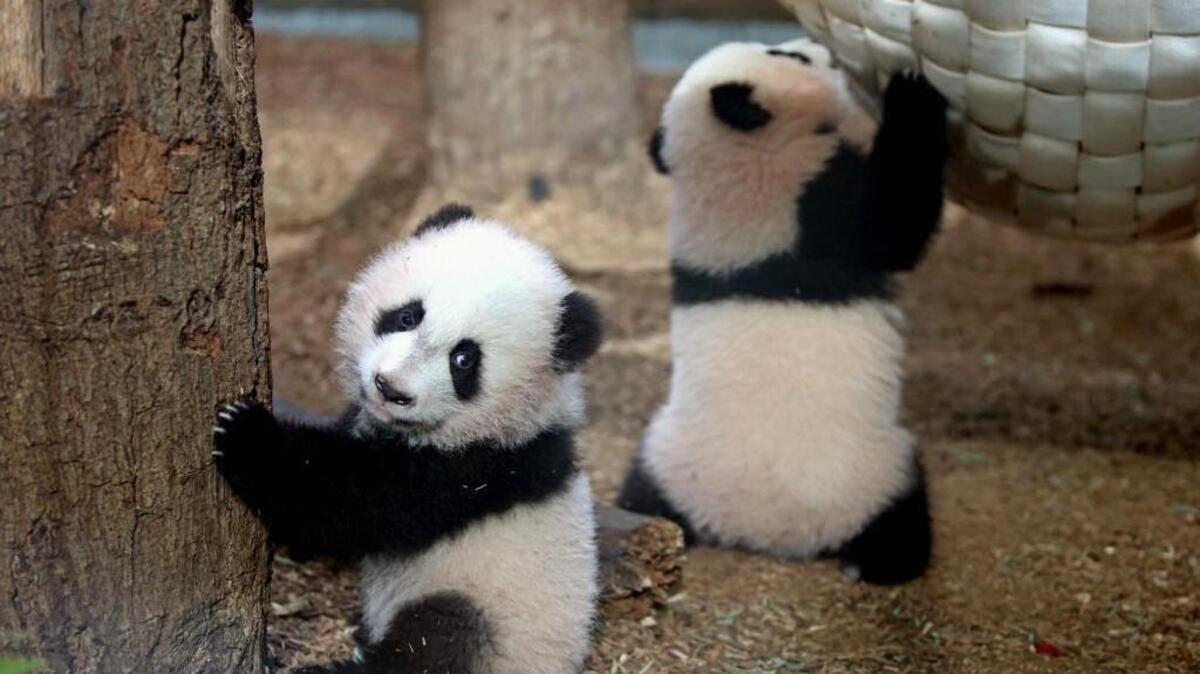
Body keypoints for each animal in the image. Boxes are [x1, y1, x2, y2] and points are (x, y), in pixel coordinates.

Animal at [213, 205, 605, 674]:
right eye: (407, 316)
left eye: (464, 359)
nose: (389, 388)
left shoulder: (479, 467)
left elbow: (359, 502)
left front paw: (247, 437)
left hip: (488, 613)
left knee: (430, 644)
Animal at [618, 39, 948, 585]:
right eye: (783, 54)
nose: (820, 49)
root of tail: (770, 536)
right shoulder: (814, 202)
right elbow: (897, 222)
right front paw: (912, 92)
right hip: (873, 467)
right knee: (903, 506)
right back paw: (882, 562)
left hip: (665, 456)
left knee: (642, 493)